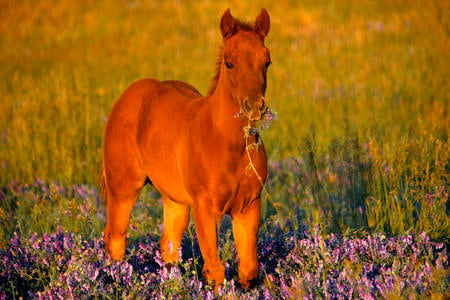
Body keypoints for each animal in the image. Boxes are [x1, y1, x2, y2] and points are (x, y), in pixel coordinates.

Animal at [99, 8, 270, 288]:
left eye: (266, 61)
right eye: (229, 62)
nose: (254, 107)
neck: (228, 144)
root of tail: (129, 94)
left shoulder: (248, 206)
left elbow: (248, 271)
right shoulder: (205, 208)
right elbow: (215, 271)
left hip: (174, 199)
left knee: (168, 246)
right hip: (123, 187)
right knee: (115, 239)